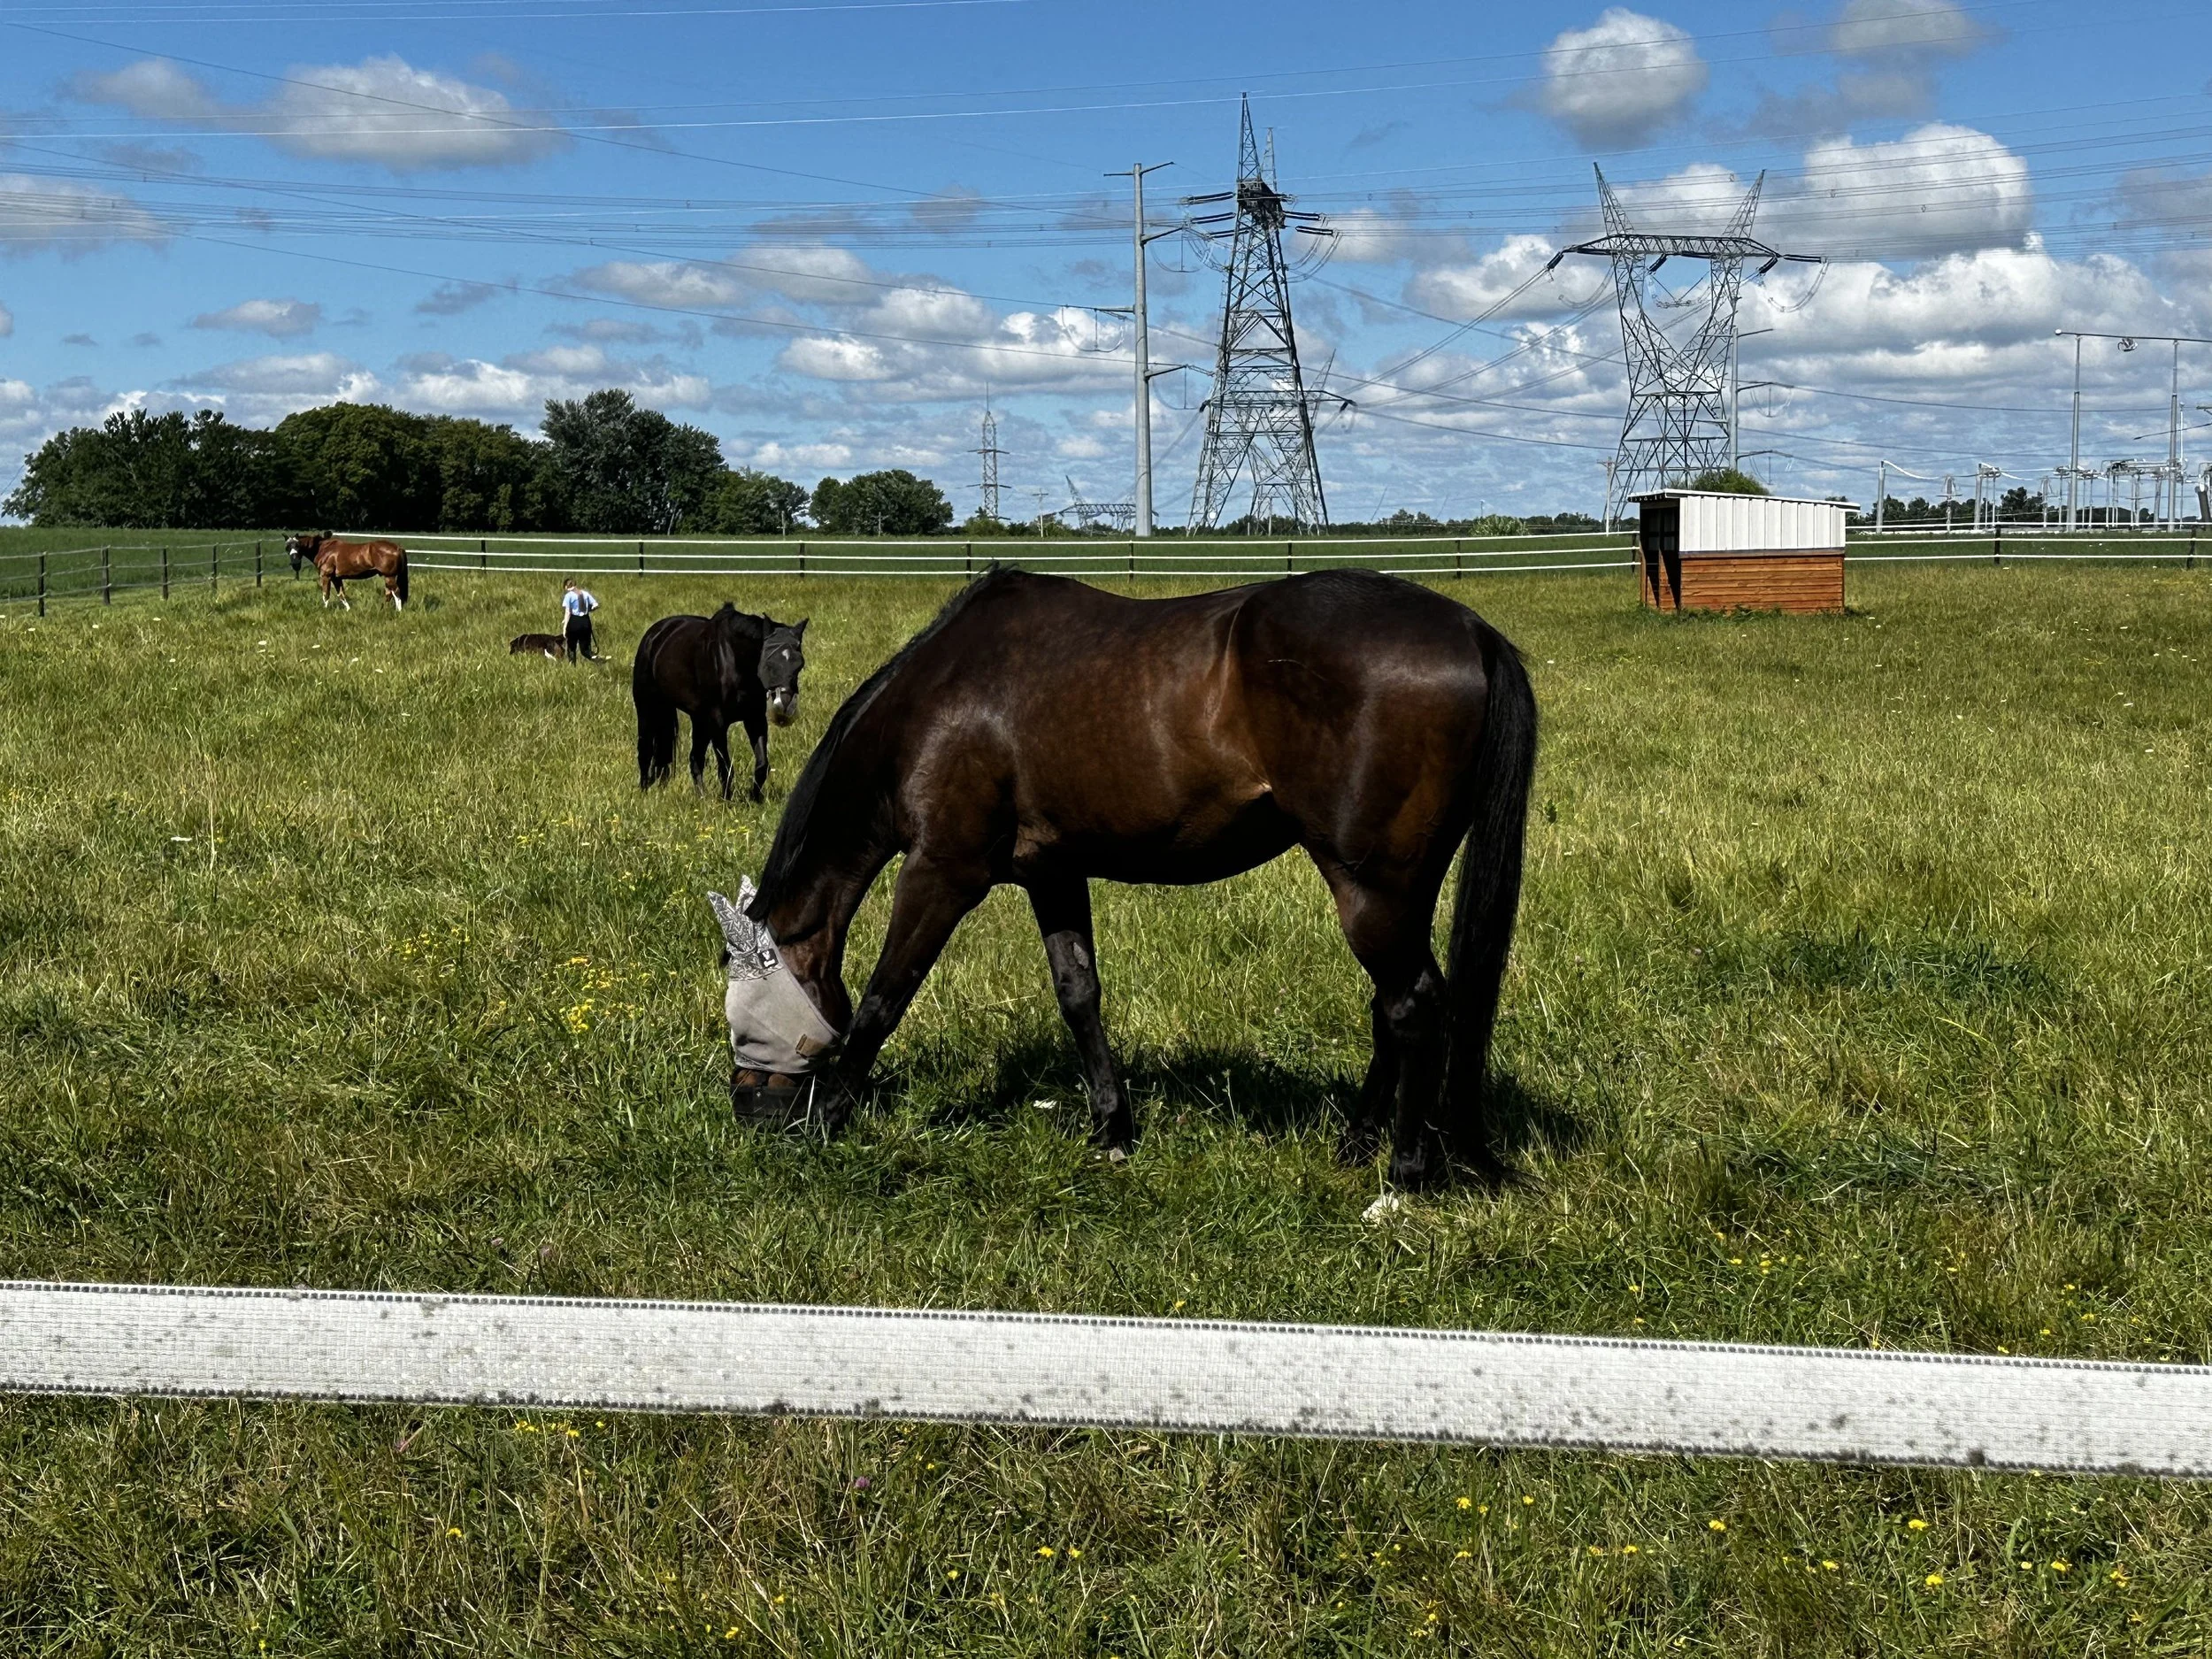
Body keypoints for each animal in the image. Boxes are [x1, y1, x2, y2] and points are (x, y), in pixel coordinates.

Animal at [287, 532, 409, 612]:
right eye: (287, 547)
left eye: (298, 545)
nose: (295, 563)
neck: (323, 549)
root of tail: (398, 547)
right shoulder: (336, 578)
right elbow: (341, 594)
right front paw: (348, 610)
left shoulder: (326, 576)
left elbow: (326, 594)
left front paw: (324, 610)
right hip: (387, 576)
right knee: (389, 593)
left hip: (390, 576)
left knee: (396, 592)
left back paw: (398, 611)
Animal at [633, 604, 808, 802]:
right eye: (770, 662)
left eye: (799, 664)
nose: (785, 705)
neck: (734, 661)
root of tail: (654, 634)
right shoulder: (718, 723)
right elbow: (726, 767)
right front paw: (727, 801)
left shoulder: (754, 719)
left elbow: (762, 765)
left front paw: (755, 798)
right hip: (647, 708)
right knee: (645, 750)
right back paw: (644, 791)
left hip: (698, 720)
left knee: (695, 759)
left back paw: (701, 797)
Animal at [711, 567, 1537, 1192]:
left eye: (740, 1007)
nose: (745, 1109)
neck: (941, 698)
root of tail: (1473, 631)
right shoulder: (1052, 873)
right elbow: (1079, 994)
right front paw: (1111, 1126)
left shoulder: (942, 872)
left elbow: (885, 997)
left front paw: (831, 1116)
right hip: (1398, 892)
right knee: (1393, 1008)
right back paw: (1358, 1142)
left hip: (1371, 888)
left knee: (1413, 1004)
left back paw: (1403, 1174)